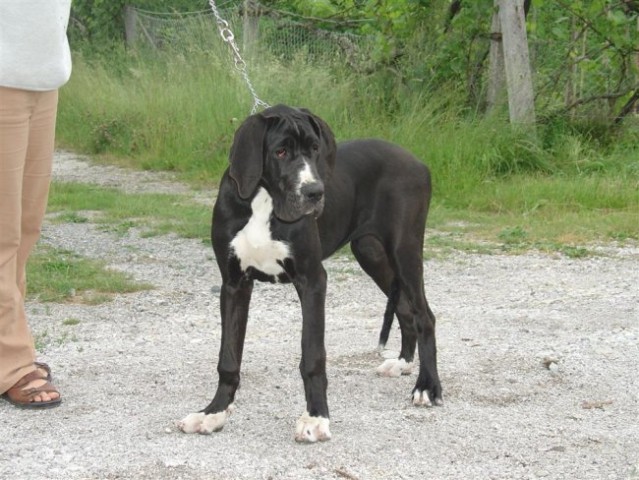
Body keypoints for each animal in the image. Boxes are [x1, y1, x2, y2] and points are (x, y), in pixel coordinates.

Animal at [178, 104, 442, 442]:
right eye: (280, 151)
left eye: (315, 149)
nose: (315, 192)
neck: (265, 201)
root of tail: (418, 161)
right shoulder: (234, 284)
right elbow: (228, 357)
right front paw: (214, 412)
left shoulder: (312, 281)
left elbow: (313, 356)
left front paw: (316, 417)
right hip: (371, 253)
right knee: (406, 309)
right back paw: (402, 363)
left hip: (404, 250)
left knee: (425, 315)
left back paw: (427, 386)